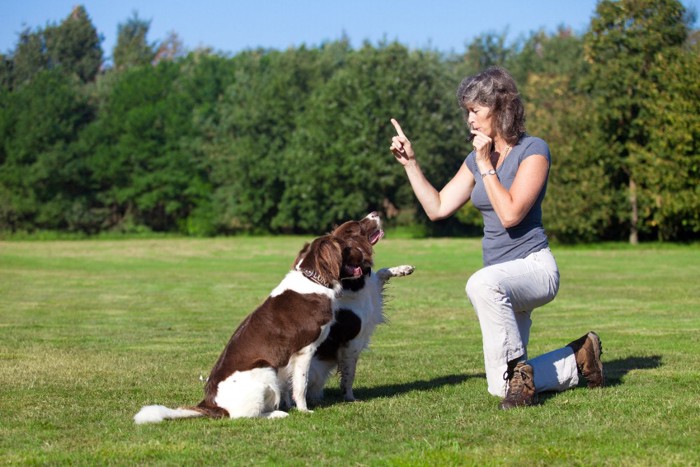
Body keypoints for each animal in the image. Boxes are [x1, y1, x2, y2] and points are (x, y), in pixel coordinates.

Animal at [134, 234, 370, 424]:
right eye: (347, 247)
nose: (365, 256)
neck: (314, 280)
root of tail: (211, 404)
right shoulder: (305, 350)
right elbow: (300, 385)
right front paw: (303, 410)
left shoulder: (286, 358)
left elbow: (288, 384)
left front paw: (290, 405)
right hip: (264, 370)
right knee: (243, 416)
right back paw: (276, 414)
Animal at [308, 214, 416, 404]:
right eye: (358, 224)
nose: (375, 212)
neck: (351, 281)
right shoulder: (352, 342)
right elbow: (349, 374)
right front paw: (350, 397)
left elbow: (381, 272)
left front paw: (403, 269)